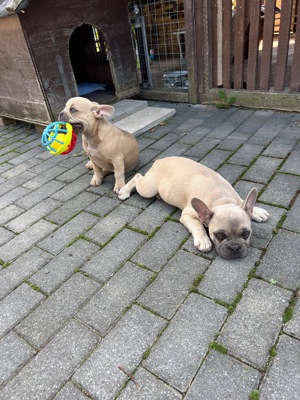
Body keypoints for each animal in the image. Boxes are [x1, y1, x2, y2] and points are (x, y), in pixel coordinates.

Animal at [118, 156, 270, 260]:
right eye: (219, 235)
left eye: (246, 234)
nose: (234, 247)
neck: (222, 200)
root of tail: (159, 161)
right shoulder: (187, 215)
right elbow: (198, 226)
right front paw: (203, 240)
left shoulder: (236, 199)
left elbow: (243, 200)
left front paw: (257, 211)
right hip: (148, 188)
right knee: (137, 177)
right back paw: (124, 191)